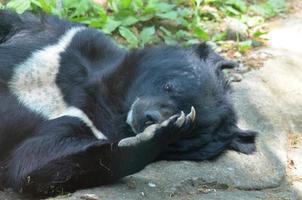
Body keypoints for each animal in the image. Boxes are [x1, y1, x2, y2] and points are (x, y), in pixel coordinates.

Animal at [0, 10, 256, 196]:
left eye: (190, 134)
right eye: (169, 85)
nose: (149, 118)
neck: (112, 101)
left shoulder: (85, 124)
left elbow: (33, 164)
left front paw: (160, 133)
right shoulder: (65, 38)